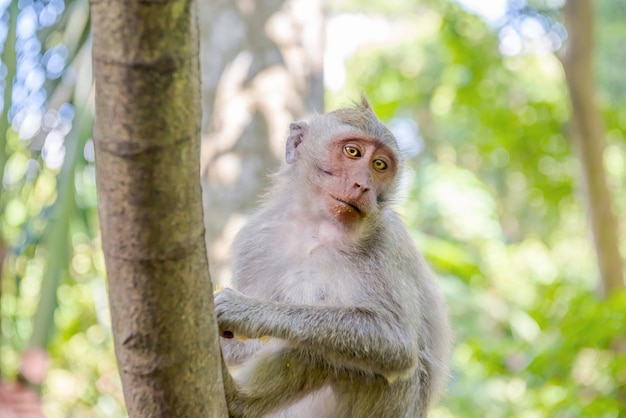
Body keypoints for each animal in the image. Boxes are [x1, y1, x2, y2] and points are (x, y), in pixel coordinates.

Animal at [214, 97, 448, 418]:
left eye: (379, 165)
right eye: (353, 152)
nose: (363, 185)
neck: (317, 229)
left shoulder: (385, 243)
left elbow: (395, 343)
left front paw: (245, 311)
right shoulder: (254, 239)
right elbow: (249, 343)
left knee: (319, 350)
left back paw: (239, 402)